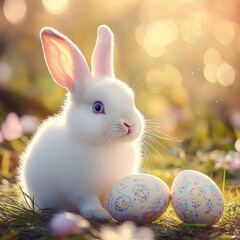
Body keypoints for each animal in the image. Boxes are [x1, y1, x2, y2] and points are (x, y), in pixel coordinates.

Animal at [18, 25, 144, 220]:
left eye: (131, 100)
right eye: (98, 107)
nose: (129, 124)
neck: (106, 146)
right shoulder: (79, 188)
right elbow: (88, 200)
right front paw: (98, 213)